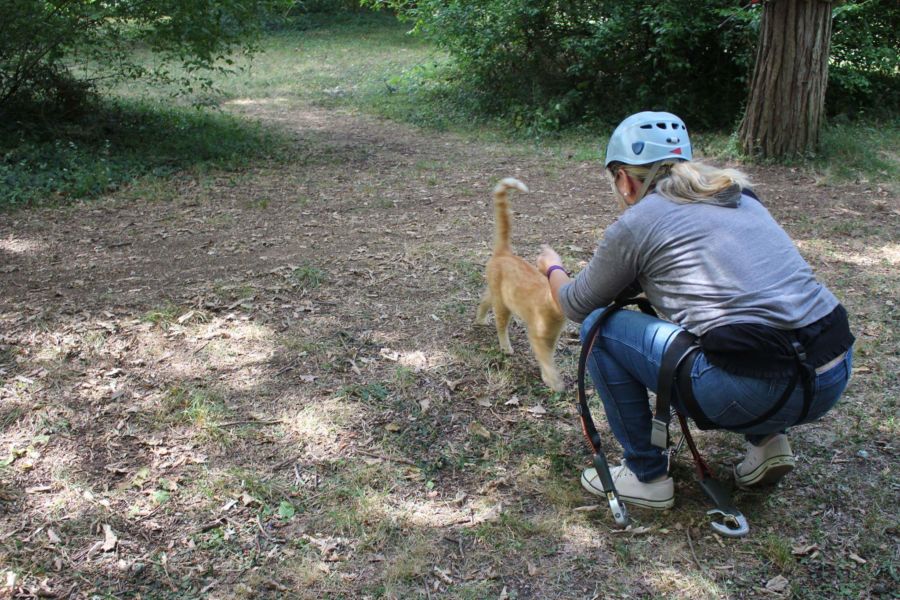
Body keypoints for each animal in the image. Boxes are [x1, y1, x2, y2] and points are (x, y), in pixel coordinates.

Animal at [478, 178, 564, 394]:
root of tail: (505, 252)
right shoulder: (537, 337)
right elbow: (547, 361)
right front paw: (553, 381)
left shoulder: (551, 338)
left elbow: (549, 356)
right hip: (503, 306)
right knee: (501, 326)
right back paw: (505, 347)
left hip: (496, 294)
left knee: (483, 300)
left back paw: (480, 319)